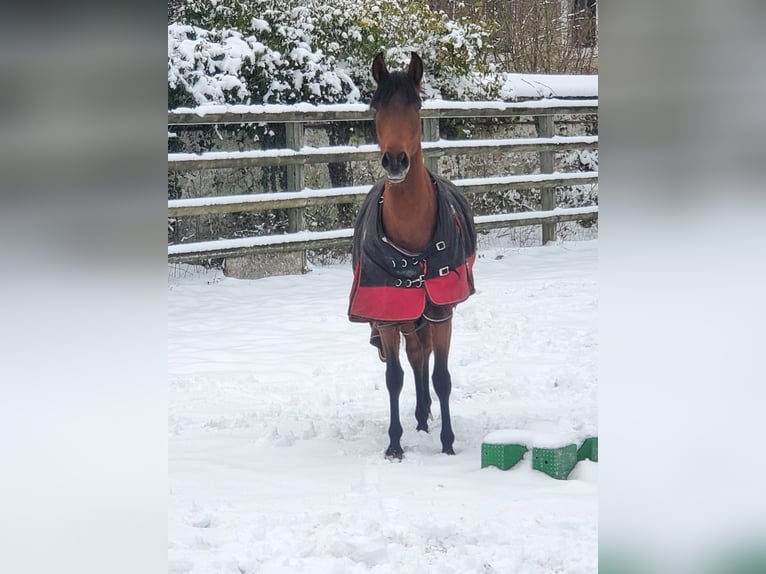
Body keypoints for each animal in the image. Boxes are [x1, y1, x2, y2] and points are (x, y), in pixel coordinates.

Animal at [348, 52, 477, 459]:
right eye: (376, 106)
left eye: (416, 105)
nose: (395, 161)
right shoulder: (389, 312)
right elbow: (395, 377)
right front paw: (394, 444)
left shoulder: (441, 311)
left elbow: (442, 376)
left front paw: (448, 443)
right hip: (407, 314)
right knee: (416, 355)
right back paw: (419, 417)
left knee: (425, 356)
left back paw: (426, 416)